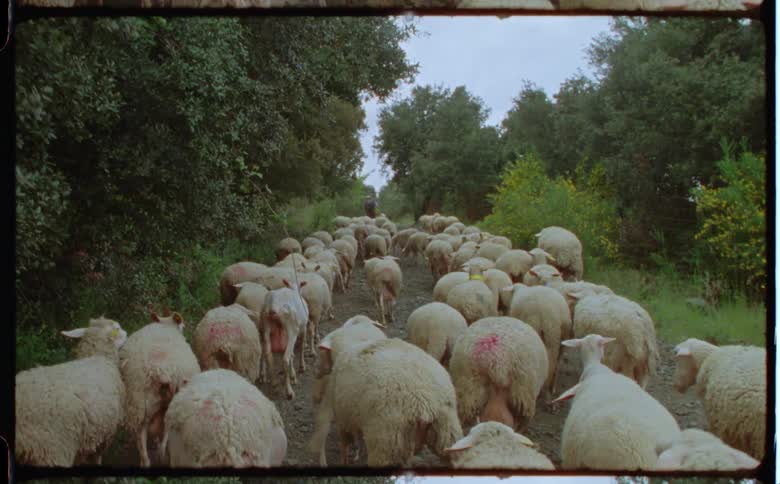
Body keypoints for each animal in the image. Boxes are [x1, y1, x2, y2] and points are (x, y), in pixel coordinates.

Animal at [15, 317, 128, 466]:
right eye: (117, 328)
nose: (127, 334)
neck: (99, 356)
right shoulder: (107, 433)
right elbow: (97, 457)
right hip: (54, 449)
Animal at [119, 311, 201, 467]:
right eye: (182, 326)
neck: (166, 326)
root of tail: (159, 370)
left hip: (138, 403)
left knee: (141, 437)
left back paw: (146, 460)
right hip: (170, 401)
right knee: (167, 429)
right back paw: (163, 454)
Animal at [314, 338, 463, 466]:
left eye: (321, 355)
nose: (316, 373)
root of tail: (424, 404)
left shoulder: (343, 419)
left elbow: (345, 447)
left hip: (387, 444)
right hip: (447, 434)